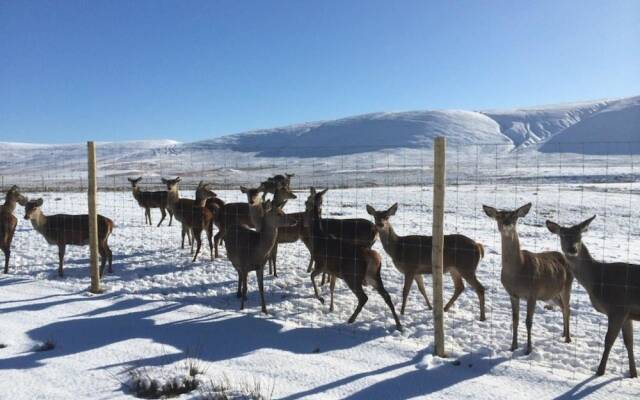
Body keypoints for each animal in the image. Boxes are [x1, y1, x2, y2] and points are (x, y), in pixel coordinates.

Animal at [304, 188, 400, 332]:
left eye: (309, 199)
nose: (305, 205)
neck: (318, 236)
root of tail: (373, 258)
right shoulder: (332, 270)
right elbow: (331, 286)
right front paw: (330, 306)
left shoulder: (321, 264)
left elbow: (311, 276)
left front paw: (321, 299)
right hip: (373, 276)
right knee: (386, 295)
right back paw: (399, 324)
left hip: (352, 275)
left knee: (364, 297)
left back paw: (351, 319)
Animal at [484, 203, 576, 354]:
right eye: (499, 216)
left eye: (514, 216)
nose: (507, 223)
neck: (517, 272)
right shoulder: (512, 294)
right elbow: (515, 319)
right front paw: (513, 346)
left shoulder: (533, 292)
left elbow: (528, 321)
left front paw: (528, 348)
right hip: (552, 293)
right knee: (563, 307)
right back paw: (563, 333)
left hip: (567, 285)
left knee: (568, 308)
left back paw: (568, 338)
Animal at [544, 214, 640, 376]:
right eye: (562, 235)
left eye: (580, 235)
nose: (573, 248)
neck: (598, 280)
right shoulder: (627, 313)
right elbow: (629, 342)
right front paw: (633, 374)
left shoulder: (618, 308)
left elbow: (609, 340)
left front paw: (600, 371)